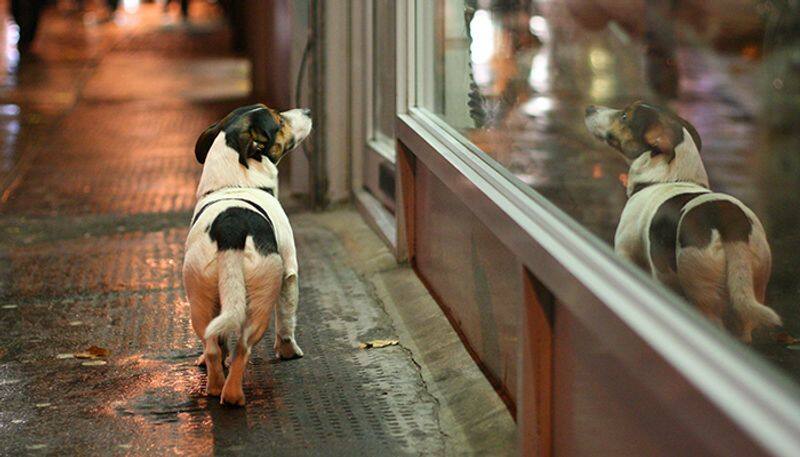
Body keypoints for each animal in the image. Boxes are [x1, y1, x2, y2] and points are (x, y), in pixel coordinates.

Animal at [183, 103, 310, 402]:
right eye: (279, 120)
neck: (234, 184)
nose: (308, 111)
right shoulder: (289, 273)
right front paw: (289, 351)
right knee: (243, 347)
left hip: (201, 297)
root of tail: (230, 229)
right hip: (261, 297)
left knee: (212, 344)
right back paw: (232, 395)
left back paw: (214, 384)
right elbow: (286, 319)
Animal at [584, 100, 780, 342]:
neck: (665, 179)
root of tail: (731, 224)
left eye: (624, 116)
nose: (589, 108)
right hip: (752, 289)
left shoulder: (625, 252)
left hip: (700, 288)